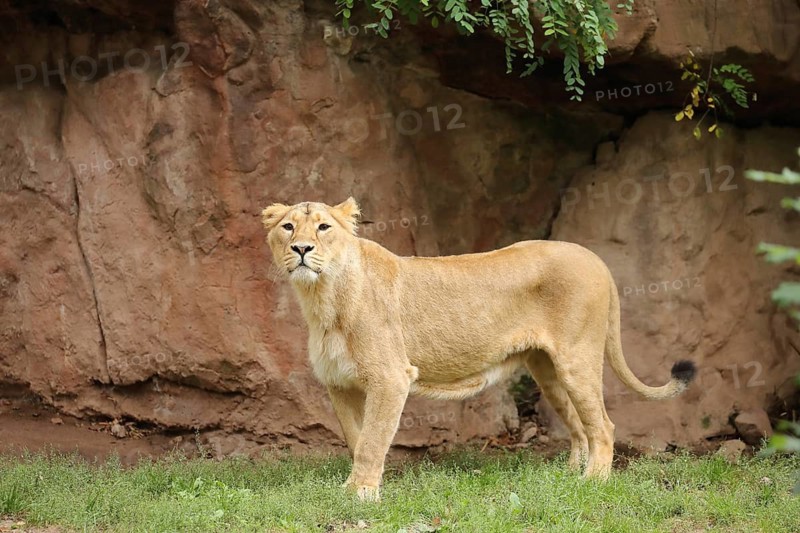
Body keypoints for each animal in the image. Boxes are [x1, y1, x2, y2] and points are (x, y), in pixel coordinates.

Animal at [262, 198, 696, 502]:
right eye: (288, 227)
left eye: (323, 227)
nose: (301, 249)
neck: (323, 297)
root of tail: (595, 259)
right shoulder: (340, 383)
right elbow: (357, 438)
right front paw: (357, 488)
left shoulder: (390, 377)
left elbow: (371, 441)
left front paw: (361, 495)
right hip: (549, 370)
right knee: (579, 423)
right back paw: (569, 475)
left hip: (577, 359)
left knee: (603, 426)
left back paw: (592, 483)